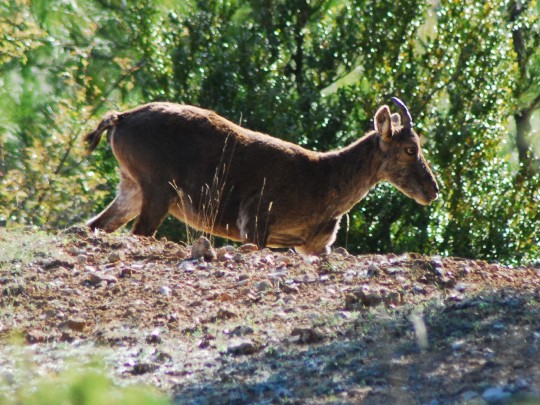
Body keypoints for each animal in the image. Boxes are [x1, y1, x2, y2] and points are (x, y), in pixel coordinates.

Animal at [84, 98, 438, 254]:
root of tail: (120, 118)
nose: (433, 190)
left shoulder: (313, 247)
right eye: (410, 148)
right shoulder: (255, 224)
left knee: (96, 225)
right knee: (137, 232)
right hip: (157, 189)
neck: (325, 179)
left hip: (131, 188)